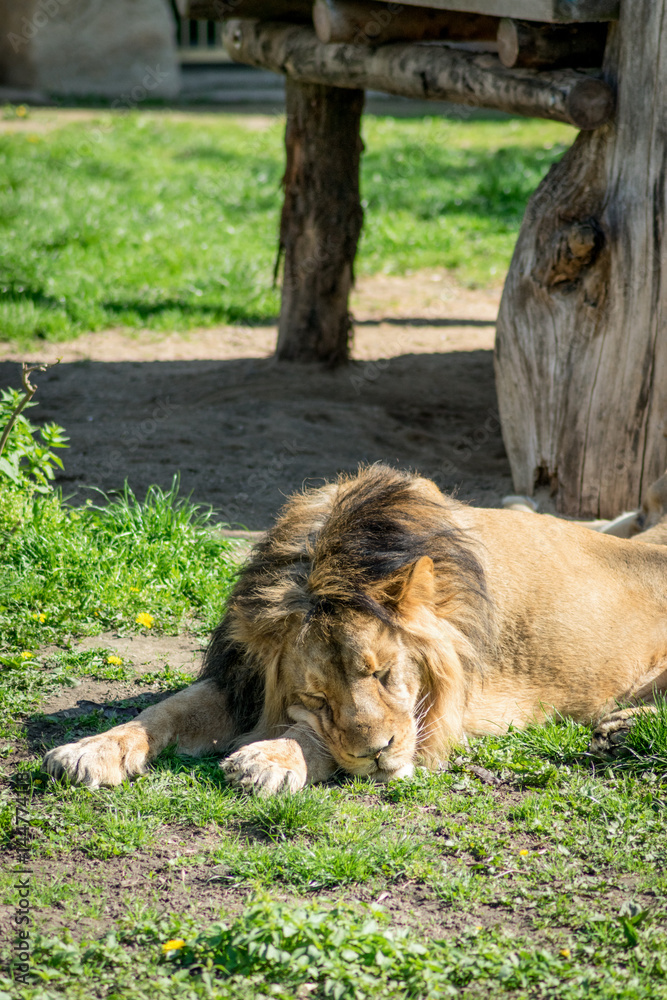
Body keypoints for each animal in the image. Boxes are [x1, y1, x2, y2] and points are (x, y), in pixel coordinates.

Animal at [43, 464, 667, 795]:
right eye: (317, 695)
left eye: (386, 673)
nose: (378, 754)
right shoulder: (239, 681)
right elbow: (163, 712)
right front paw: (89, 750)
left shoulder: (441, 719)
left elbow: (314, 741)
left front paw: (270, 759)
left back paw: (618, 728)